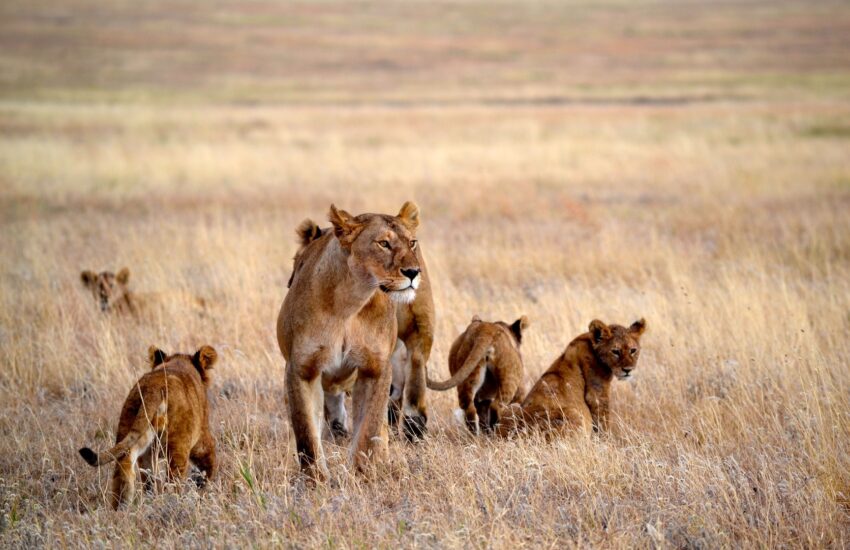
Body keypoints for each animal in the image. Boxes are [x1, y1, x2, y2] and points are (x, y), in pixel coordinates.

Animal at [78, 345, 219, 509]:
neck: (178, 362)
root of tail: (154, 388)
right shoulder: (201, 438)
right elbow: (208, 465)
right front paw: (203, 491)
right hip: (178, 445)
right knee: (172, 482)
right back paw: (173, 505)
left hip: (132, 430)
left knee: (129, 470)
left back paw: (122, 508)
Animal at [499, 318, 646, 437]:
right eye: (615, 351)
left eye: (633, 350)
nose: (627, 370)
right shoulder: (597, 393)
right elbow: (603, 422)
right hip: (573, 413)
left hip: (511, 406)